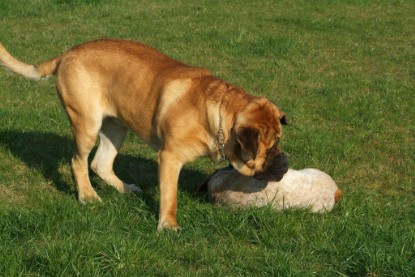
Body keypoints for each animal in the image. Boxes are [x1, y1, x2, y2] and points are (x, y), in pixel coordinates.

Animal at [0, 38, 288, 229]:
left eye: (278, 142)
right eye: (269, 148)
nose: (285, 162)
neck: (218, 113)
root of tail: (66, 54)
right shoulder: (169, 158)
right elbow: (169, 196)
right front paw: (168, 225)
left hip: (116, 128)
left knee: (100, 163)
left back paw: (125, 189)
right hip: (86, 124)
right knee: (78, 162)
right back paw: (88, 196)